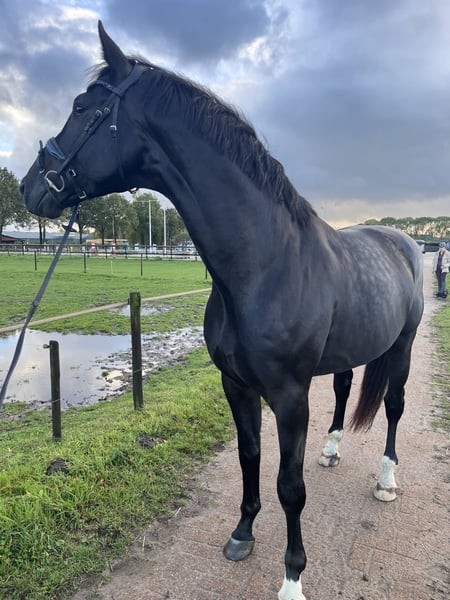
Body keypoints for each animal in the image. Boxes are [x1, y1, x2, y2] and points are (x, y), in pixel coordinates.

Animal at [20, 22, 424, 600]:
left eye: (81, 107)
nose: (30, 186)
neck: (264, 266)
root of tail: (405, 242)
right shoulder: (236, 385)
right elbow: (248, 456)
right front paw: (242, 533)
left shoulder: (290, 396)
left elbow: (290, 486)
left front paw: (292, 577)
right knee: (346, 390)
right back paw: (331, 448)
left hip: (404, 346)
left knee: (393, 405)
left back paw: (387, 480)